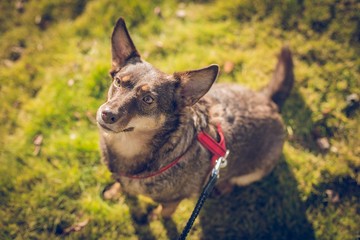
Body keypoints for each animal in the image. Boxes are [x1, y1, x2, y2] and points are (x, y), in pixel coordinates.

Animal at [97, 17, 294, 218]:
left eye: (148, 99)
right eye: (118, 82)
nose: (106, 114)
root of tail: (268, 100)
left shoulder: (172, 202)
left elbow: (163, 214)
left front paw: (153, 218)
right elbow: (122, 186)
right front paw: (114, 192)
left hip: (250, 174)